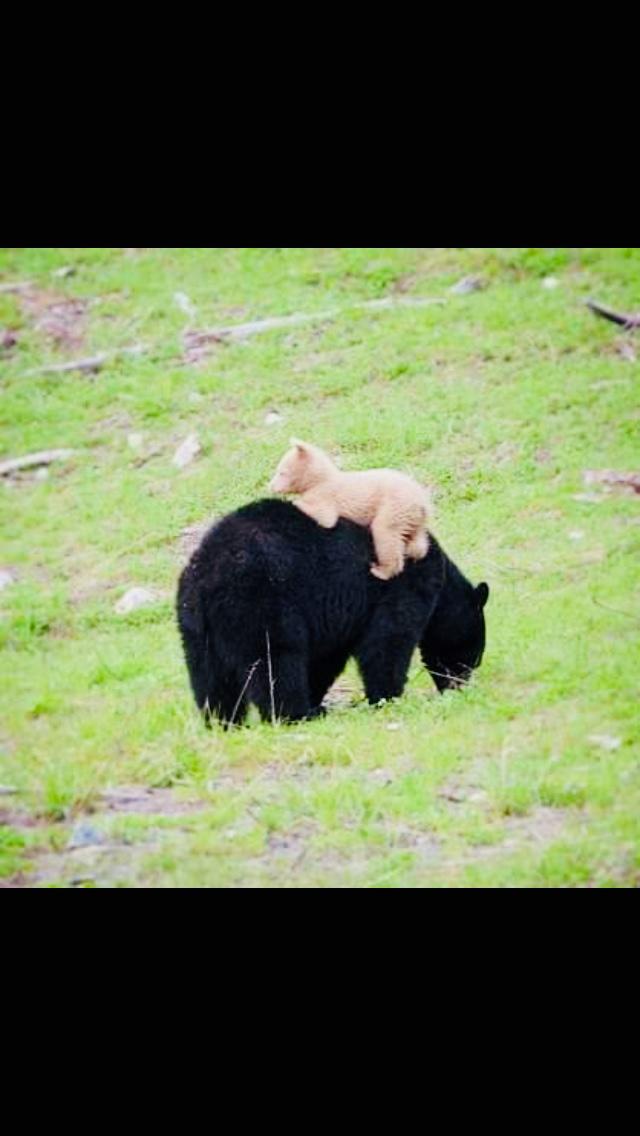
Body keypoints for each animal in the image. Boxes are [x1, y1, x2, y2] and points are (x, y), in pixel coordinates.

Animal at [177, 498, 489, 726]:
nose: (459, 686)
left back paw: (222, 721)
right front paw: (388, 698)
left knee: (210, 676)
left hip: (195, 626)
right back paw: (297, 715)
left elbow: (326, 658)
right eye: (473, 655)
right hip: (260, 604)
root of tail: (208, 577)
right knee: (276, 661)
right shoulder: (400, 587)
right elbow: (387, 641)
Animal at [269, 438, 431, 580]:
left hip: (393, 508)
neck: (319, 479)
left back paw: (381, 571)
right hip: (413, 518)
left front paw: (295, 501)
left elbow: (326, 519)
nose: (270, 486)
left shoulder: (325, 495)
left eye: (281, 472)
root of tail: (422, 502)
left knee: (385, 534)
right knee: (418, 541)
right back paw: (414, 552)